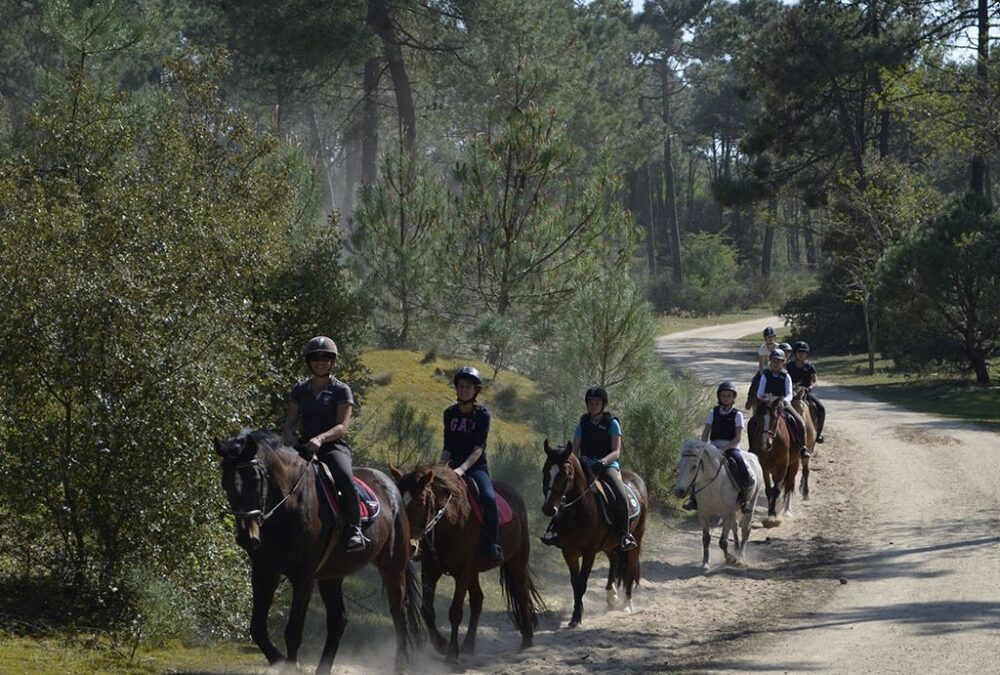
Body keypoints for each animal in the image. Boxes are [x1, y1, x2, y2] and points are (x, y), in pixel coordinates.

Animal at [215, 434, 422, 675]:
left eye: (255, 480)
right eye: (226, 483)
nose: (247, 537)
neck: (287, 505)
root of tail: (390, 487)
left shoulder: (304, 577)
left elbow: (293, 631)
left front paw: (290, 666)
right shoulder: (265, 572)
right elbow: (257, 628)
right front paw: (280, 661)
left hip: (393, 567)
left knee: (399, 612)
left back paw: (401, 665)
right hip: (332, 575)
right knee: (338, 619)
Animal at [390, 464, 548, 664]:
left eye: (421, 502)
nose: (407, 545)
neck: (448, 523)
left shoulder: (462, 572)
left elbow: (455, 612)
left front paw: (451, 653)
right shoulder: (431, 570)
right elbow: (427, 610)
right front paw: (441, 644)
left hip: (517, 560)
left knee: (521, 593)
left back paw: (526, 640)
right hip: (474, 571)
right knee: (478, 600)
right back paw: (468, 645)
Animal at [540, 440, 648, 632]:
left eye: (566, 474)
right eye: (545, 471)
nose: (549, 509)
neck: (578, 511)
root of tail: (637, 479)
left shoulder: (589, 552)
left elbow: (582, 582)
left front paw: (577, 618)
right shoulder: (569, 552)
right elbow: (575, 583)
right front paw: (577, 613)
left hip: (636, 537)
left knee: (630, 567)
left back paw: (627, 605)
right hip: (609, 543)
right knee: (614, 559)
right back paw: (611, 596)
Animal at [672, 440, 764, 572]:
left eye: (694, 466)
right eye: (680, 465)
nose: (679, 491)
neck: (713, 484)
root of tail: (753, 456)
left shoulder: (727, 513)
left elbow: (723, 542)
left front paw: (731, 558)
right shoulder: (703, 514)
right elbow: (706, 539)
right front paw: (705, 563)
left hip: (751, 503)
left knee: (745, 529)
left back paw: (740, 557)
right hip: (733, 511)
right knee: (735, 527)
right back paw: (736, 550)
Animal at [748, 396, 800, 528]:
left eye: (775, 417)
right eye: (758, 417)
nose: (765, 443)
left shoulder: (783, 466)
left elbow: (777, 489)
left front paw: (773, 517)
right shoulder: (764, 467)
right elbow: (769, 490)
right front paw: (770, 513)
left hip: (794, 464)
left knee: (789, 485)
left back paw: (786, 510)